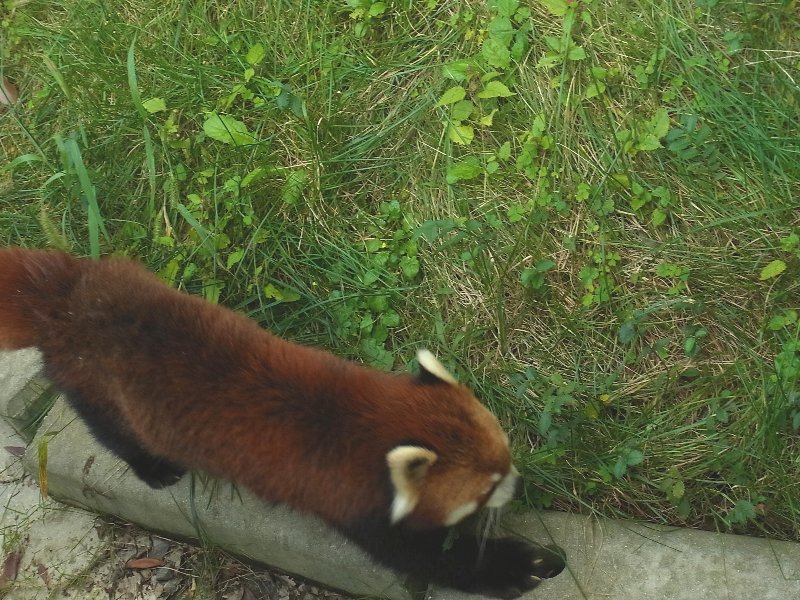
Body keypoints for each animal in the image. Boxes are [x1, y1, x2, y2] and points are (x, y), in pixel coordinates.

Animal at [0, 247, 564, 596]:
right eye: (487, 486)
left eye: (507, 454)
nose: (518, 484)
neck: (367, 420)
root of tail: (65, 294)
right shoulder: (356, 502)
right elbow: (427, 558)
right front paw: (528, 567)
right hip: (93, 383)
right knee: (112, 430)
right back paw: (154, 468)